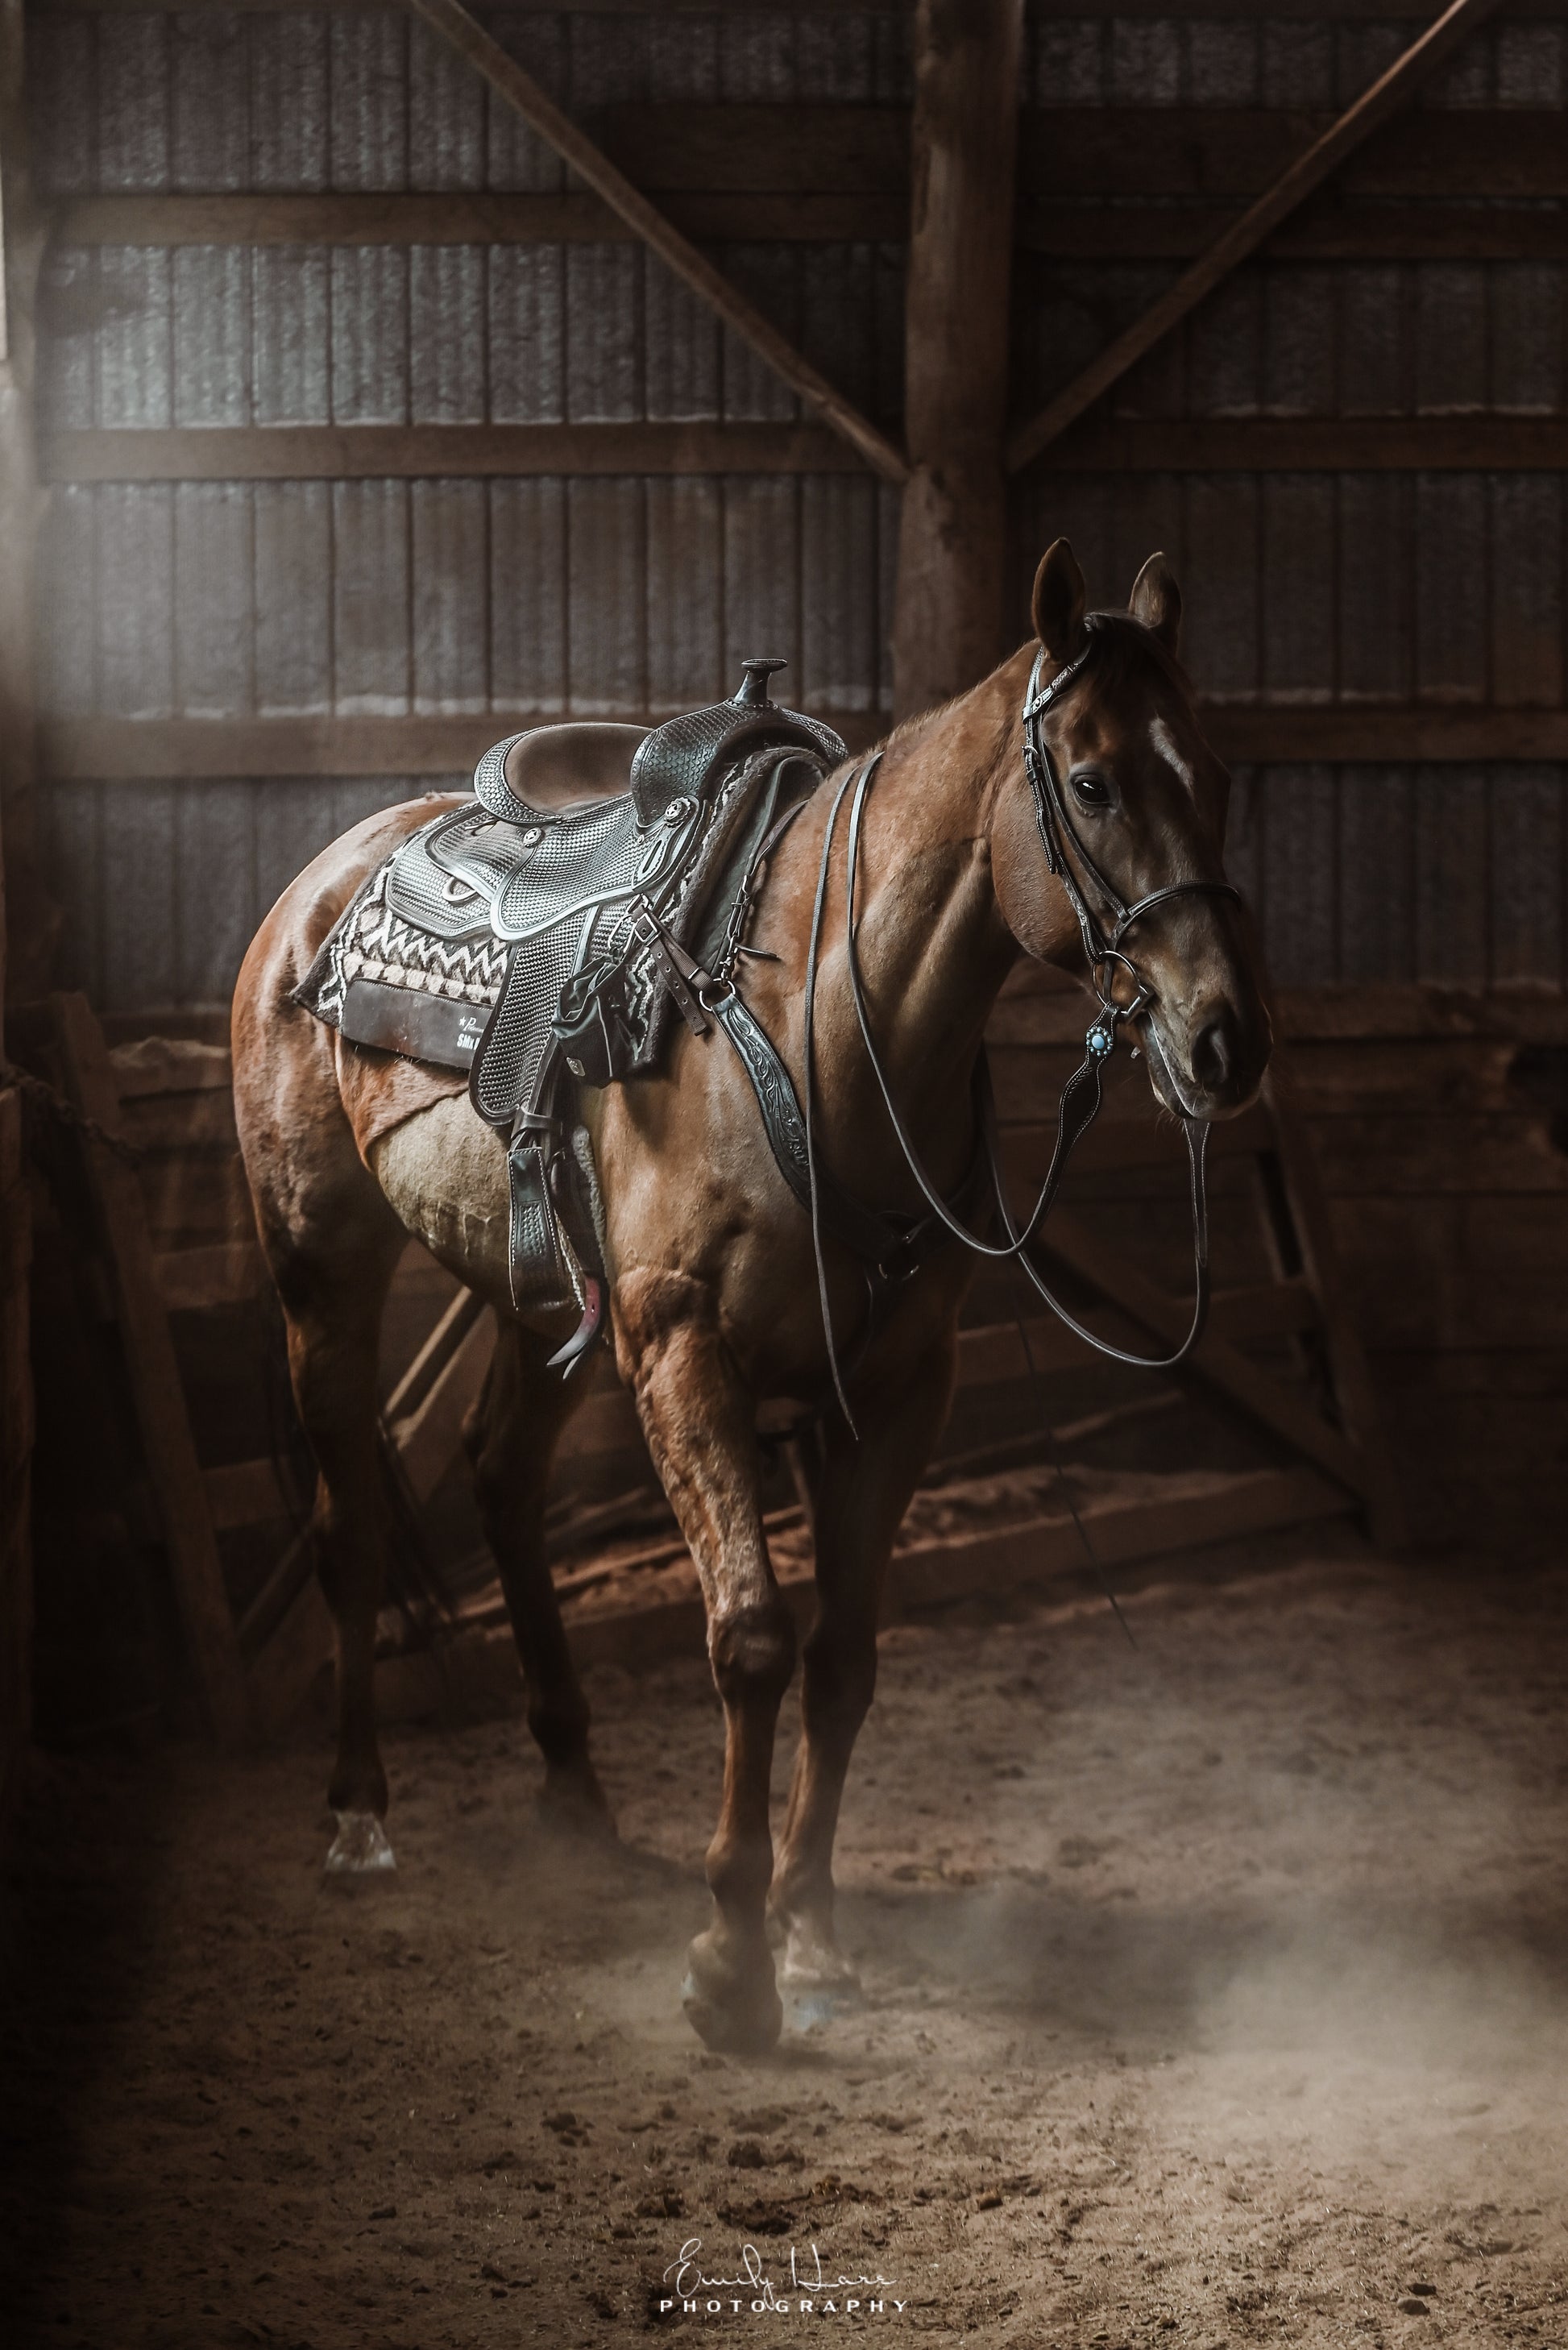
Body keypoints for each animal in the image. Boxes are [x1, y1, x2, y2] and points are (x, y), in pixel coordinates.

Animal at [231, 539, 1271, 2054]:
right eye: (1089, 783)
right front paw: (730, 1962)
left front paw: (812, 1931)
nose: (1224, 1043)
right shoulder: (681, 1350)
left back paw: (576, 1802)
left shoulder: (897, 1384)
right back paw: (358, 1818)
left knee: (496, 1475)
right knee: (351, 1520)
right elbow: (751, 1638)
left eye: (1220, 770)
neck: (821, 1027)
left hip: (538, 1297)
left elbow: (843, 1660)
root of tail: (315, 886)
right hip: (323, 1262)